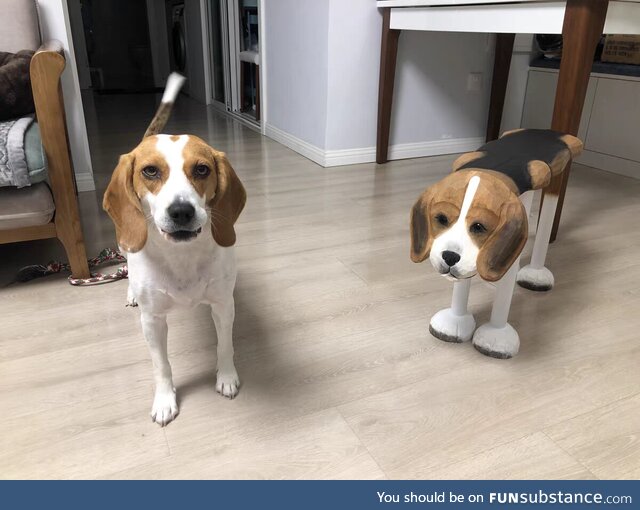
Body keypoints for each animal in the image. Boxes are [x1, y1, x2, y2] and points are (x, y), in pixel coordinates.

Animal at [104, 73, 246, 426]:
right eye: (150, 171)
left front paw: (226, 377)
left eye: (202, 169)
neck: (182, 258)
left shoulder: (223, 305)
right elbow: (161, 365)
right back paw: (130, 292)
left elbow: (225, 345)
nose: (181, 211)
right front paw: (165, 399)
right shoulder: (153, 321)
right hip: (123, 242)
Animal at [412, 127, 584, 358]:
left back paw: (535, 275)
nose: (449, 256)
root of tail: (548, 132)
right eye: (441, 219)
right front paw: (454, 322)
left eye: (479, 227)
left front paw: (495, 338)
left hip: (554, 180)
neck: (494, 169)